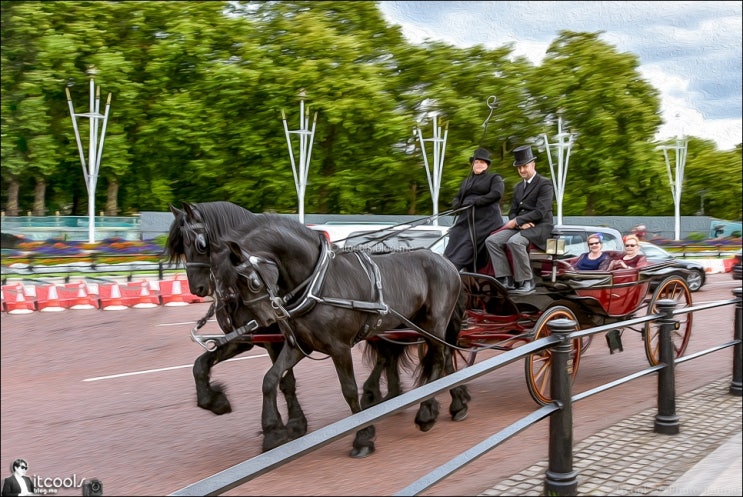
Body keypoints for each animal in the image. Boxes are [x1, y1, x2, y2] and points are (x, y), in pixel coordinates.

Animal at [208, 213, 470, 458]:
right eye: (224, 285)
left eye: (250, 282)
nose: (265, 322)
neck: (317, 283)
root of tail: (446, 262)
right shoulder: (299, 345)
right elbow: (270, 379)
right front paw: (273, 432)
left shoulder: (339, 347)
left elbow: (349, 390)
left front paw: (363, 437)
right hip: (420, 326)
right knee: (444, 357)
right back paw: (457, 403)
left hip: (434, 324)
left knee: (438, 360)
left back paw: (427, 412)